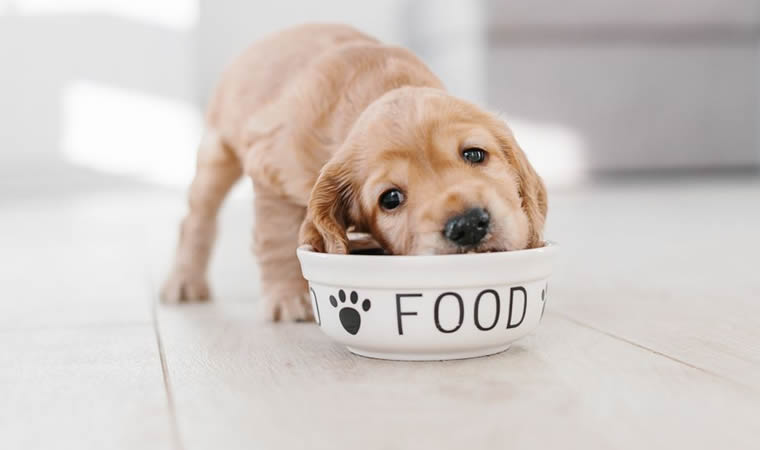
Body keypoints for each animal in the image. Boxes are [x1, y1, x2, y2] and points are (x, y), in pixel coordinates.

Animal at [162, 23, 548, 320]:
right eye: (390, 198)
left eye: (474, 154)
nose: (467, 225)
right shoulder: (270, 171)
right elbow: (277, 238)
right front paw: (287, 298)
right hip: (217, 154)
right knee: (196, 219)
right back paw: (184, 281)